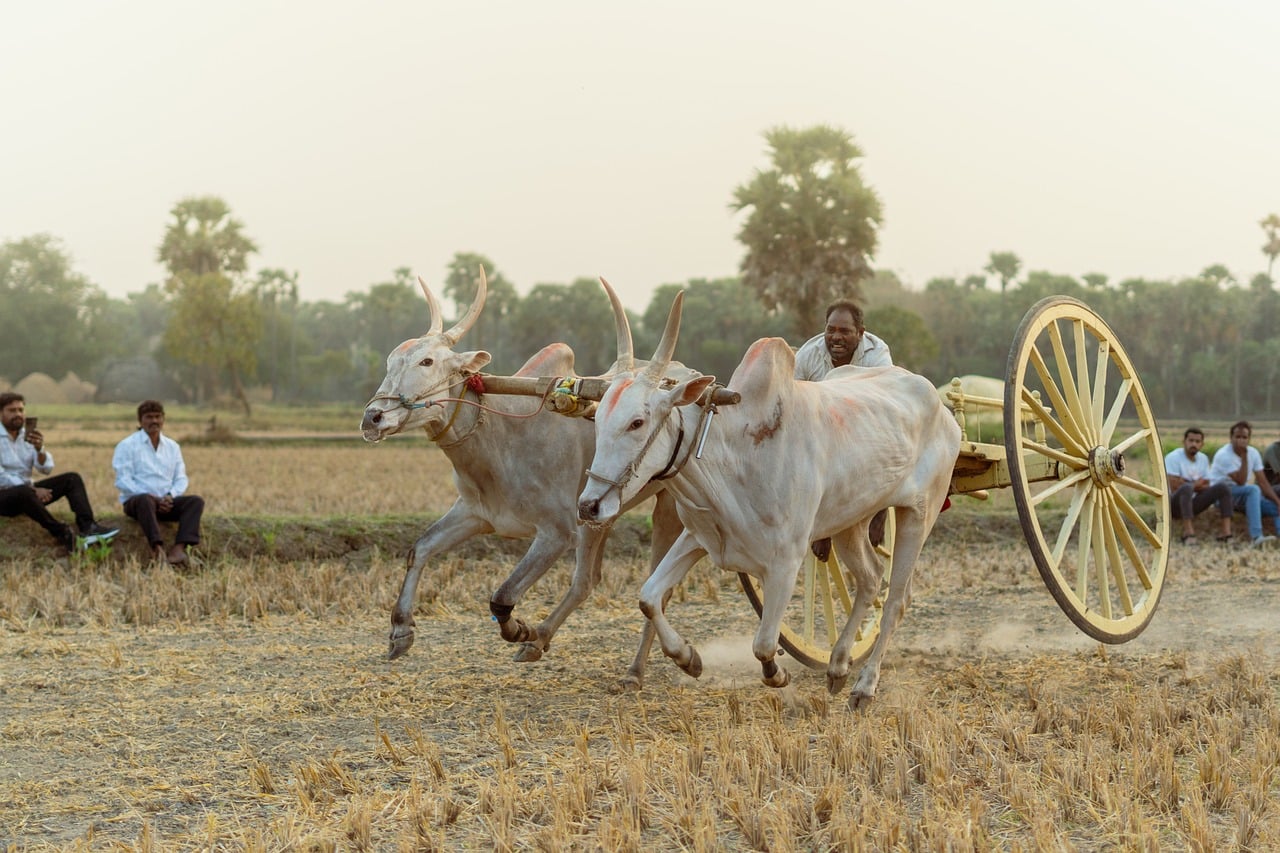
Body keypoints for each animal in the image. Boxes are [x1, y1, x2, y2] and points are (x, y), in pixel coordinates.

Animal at [361, 269, 683, 689]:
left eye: (427, 360)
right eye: (390, 360)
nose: (372, 418)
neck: (503, 436)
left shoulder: (557, 532)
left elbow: (502, 595)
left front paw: (519, 629)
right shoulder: (476, 514)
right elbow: (421, 549)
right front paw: (400, 630)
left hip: (666, 506)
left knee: (648, 586)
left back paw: (632, 669)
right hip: (599, 515)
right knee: (587, 580)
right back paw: (544, 641)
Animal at [576, 291, 961, 709]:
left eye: (637, 422)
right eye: (597, 420)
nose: (589, 506)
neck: (736, 454)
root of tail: (942, 407)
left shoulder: (786, 562)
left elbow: (763, 643)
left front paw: (777, 674)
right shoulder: (699, 537)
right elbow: (648, 597)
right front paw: (688, 658)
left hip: (918, 515)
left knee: (895, 601)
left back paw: (864, 686)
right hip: (851, 520)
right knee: (871, 579)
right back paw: (838, 665)